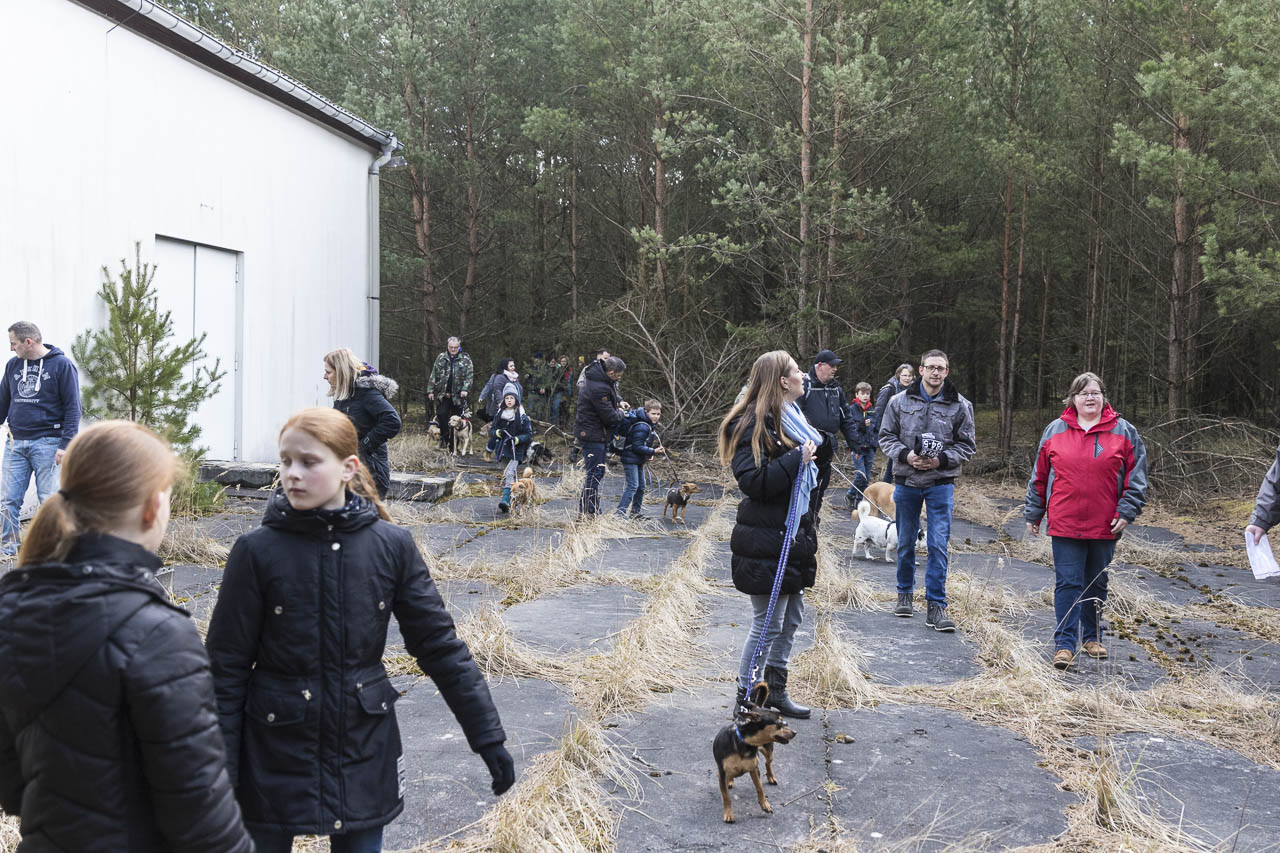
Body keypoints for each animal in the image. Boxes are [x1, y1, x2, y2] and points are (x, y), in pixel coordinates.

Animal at [713, 682, 796, 823]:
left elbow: (760, 788)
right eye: (779, 723)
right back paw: (730, 780)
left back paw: (771, 776)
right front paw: (728, 813)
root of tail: (758, 706)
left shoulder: (754, 769)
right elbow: (726, 796)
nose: (795, 732)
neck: (744, 743)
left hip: (768, 751)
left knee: (768, 764)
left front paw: (765, 804)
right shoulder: (723, 773)